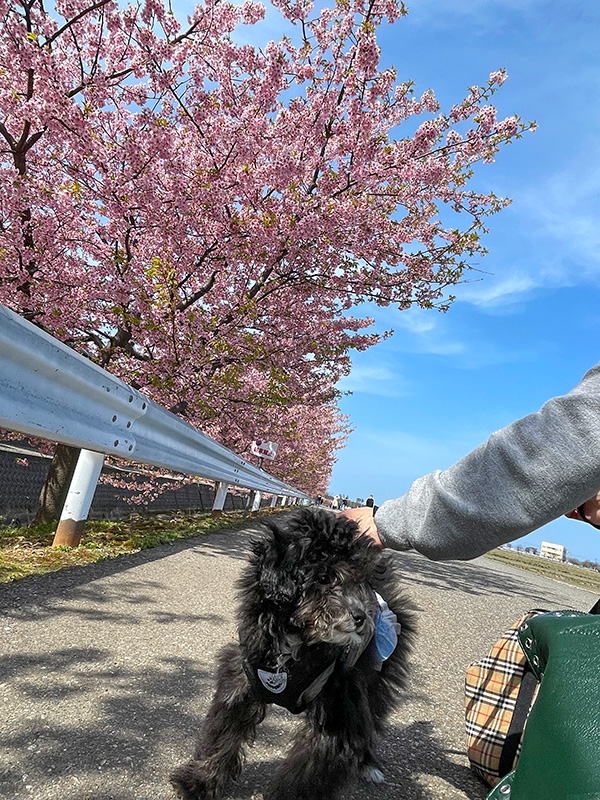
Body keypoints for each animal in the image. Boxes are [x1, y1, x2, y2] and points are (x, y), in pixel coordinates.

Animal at [171, 506, 414, 800]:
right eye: (324, 577)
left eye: (359, 581)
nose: (360, 618)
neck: (296, 642)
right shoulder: (242, 681)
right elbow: (223, 736)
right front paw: (199, 780)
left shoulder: (337, 705)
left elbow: (307, 772)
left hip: (373, 680)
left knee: (370, 719)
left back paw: (368, 764)